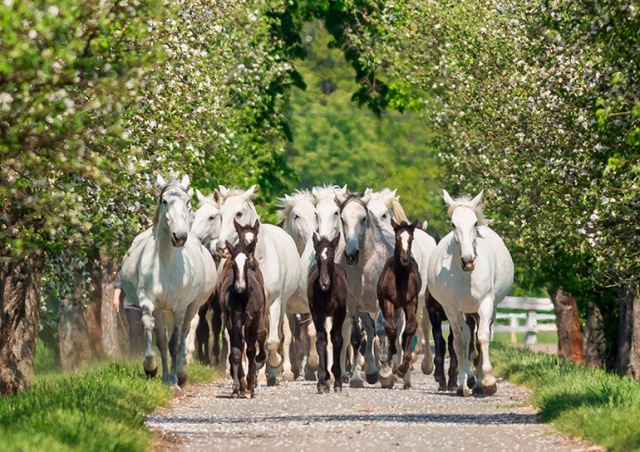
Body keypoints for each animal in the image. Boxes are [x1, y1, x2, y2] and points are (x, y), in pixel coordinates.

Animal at [120, 175, 218, 386]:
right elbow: (156, 335)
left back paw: (181, 372)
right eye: (164, 201)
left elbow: (175, 342)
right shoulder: (149, 302)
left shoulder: (180, 306)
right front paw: (152, 368)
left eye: (187, 202)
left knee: (184, 331)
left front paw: (173, 379)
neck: (165, 263)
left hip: (192, 306)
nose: (179, 236)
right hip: (162, 310)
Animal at [215, 184, 302, 384]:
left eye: (239, 213)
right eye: (220, 215)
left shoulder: (274, 302)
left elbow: (273, 339)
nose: (221, 248)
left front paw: (273, 364)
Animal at [424, 190, 516, 396]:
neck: (466, 275)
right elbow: (459, 342)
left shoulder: (486, 303)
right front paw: (463, 383)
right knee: (466, 337)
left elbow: (483, 337)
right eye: (453, 224)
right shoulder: (451, 309)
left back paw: (481, 381)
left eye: (474, 223)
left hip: (489, 309)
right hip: (466, 311)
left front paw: (487, 381)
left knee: (484, 334)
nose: (468, 260)